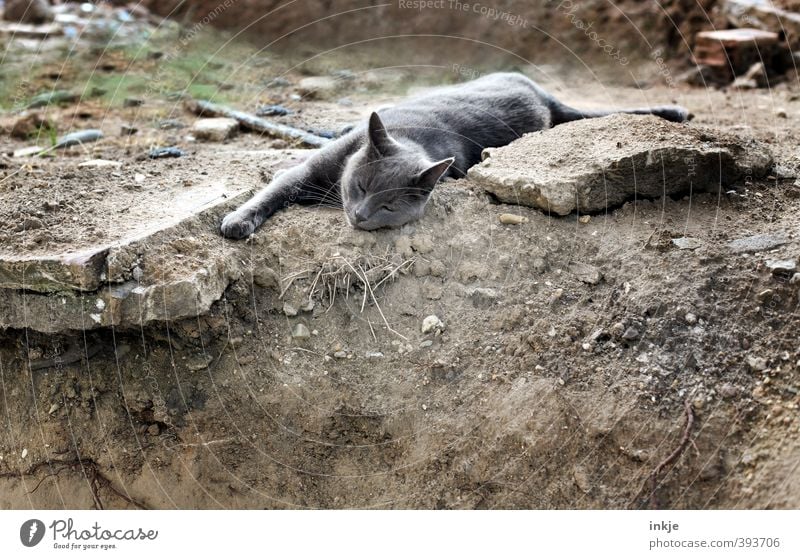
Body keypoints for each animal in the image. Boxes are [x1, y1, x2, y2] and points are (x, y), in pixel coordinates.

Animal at [220, 72, 688, 238]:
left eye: (388, 206)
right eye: (361, 186)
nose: (360, 215)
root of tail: (541, 92)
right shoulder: (310, 169)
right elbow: (274, 189)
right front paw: (236, 222)